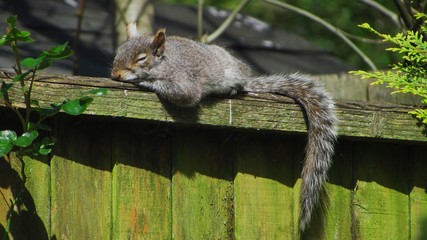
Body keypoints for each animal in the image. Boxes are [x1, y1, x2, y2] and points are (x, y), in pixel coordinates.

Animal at [112, 23, 340, 232]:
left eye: (142, 59)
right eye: (118, 51)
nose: (115, 75)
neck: (164, 63)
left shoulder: (184, 83)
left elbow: (180, 93)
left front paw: (144, 82)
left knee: (239, 87)